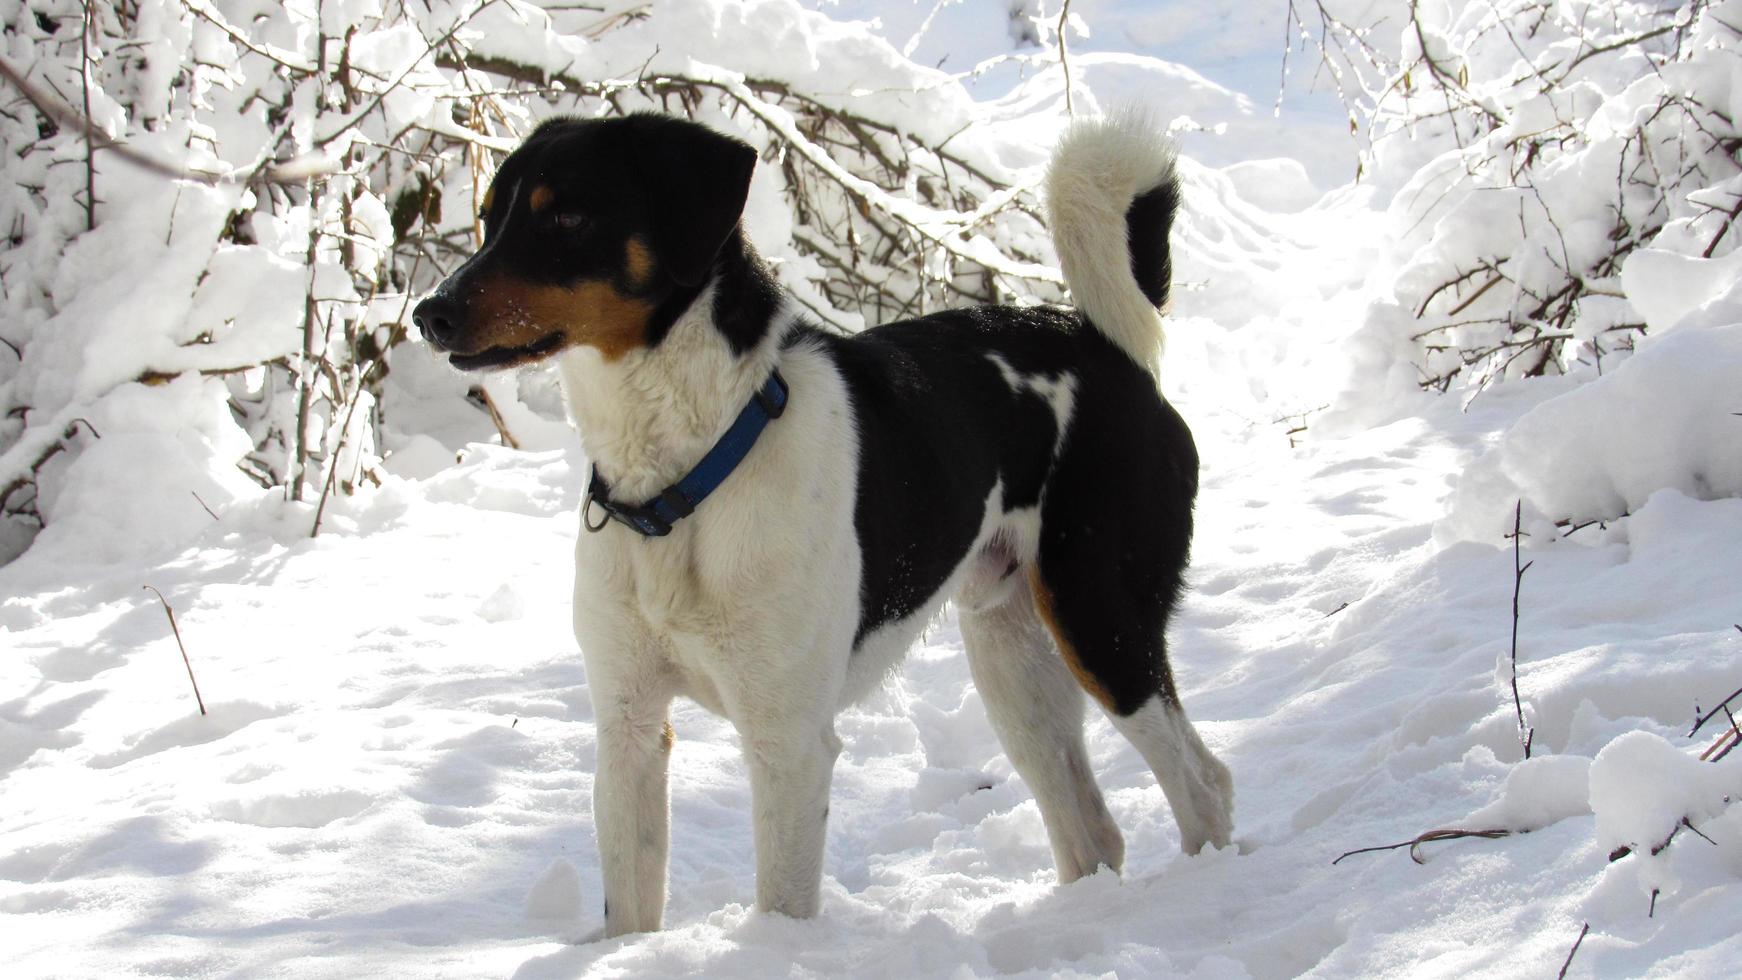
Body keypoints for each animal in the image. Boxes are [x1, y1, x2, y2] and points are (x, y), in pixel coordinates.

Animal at [409, 111, 1233, 939]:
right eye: (489, 216)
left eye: (569, 215)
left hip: (1102, 620)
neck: (682, 479)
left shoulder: (789, 741)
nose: (429, 313)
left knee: (1204, 784)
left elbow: (781, 907)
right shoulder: (628, 727)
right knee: (1092, 830)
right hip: (1012, 658)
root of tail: (1105, 343)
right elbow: (630, 912)